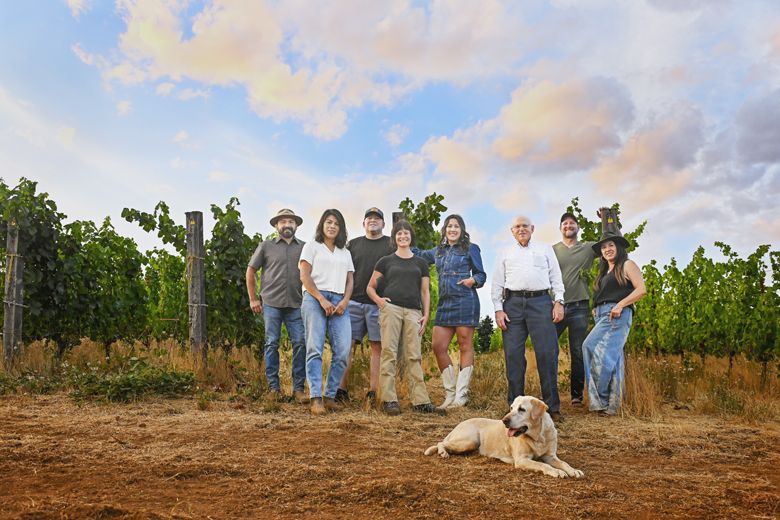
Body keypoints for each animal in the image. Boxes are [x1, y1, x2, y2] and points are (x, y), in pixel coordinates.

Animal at [424, 396, 580, 478]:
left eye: (522, 409)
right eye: (511, 408)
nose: (504, 420)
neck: (537, 436)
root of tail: (459, 424)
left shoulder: (550, 456)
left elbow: (564, 463)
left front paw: (573, 470)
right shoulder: (521, 460)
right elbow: (542, 464)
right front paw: (556, 471)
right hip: (470, 441)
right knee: (440, 442)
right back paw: (443, 452)